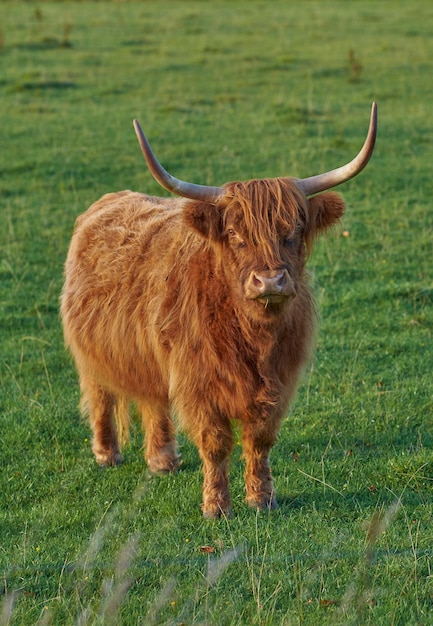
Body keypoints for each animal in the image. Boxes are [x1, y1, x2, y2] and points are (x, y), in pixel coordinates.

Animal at [60, 102, 374, 516]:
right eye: (236, 236)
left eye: (292, 232)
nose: (270, 281)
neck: (253, 336)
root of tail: (111, 198)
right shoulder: (198, 383)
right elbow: (215, 443)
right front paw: (216, 507)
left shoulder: (278, 382)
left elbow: (259, 439)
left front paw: (262, 499)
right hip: (92, 352)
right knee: (100, 395)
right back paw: (107, 454)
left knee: (154, 399)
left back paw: (162, 460)